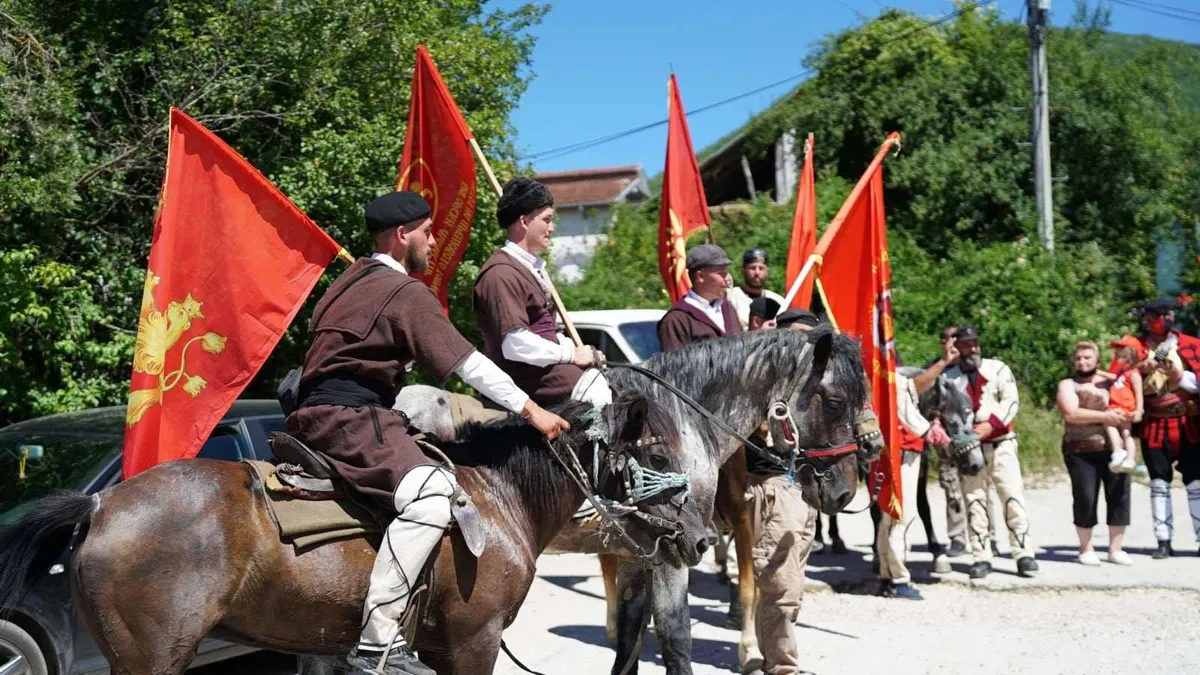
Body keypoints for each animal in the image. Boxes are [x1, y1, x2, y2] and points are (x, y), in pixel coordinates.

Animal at [398, 324, 868, 667]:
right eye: (834, 402)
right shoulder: (672, 555)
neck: (685, 423)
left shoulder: (640, 554)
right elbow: (676, 636)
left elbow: (630, 637)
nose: (845, 491)